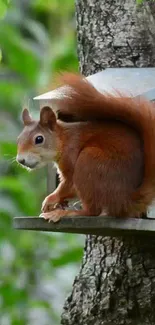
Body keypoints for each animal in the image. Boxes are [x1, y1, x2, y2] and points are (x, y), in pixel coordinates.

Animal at [16, 73, 155, 220]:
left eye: (39, 139)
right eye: (18, 139)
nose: (21, 160)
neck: (64, 139)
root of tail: (125, 202)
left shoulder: (71, 155)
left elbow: (68, 185)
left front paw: (50, 199)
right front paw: (58, 203)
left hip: (88, 162)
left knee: (92, 211)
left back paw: (68, 213)